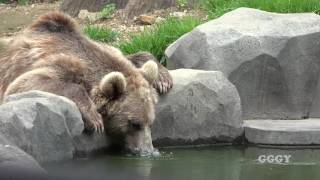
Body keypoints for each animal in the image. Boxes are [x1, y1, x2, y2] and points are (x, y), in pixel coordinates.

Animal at [0, 11, 172, 155]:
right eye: (134, 123)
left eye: (150, 123)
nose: (147, 150)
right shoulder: (60, 64)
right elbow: (26, 83)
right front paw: (94, 119)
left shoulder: (113, 51)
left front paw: (163, 78)